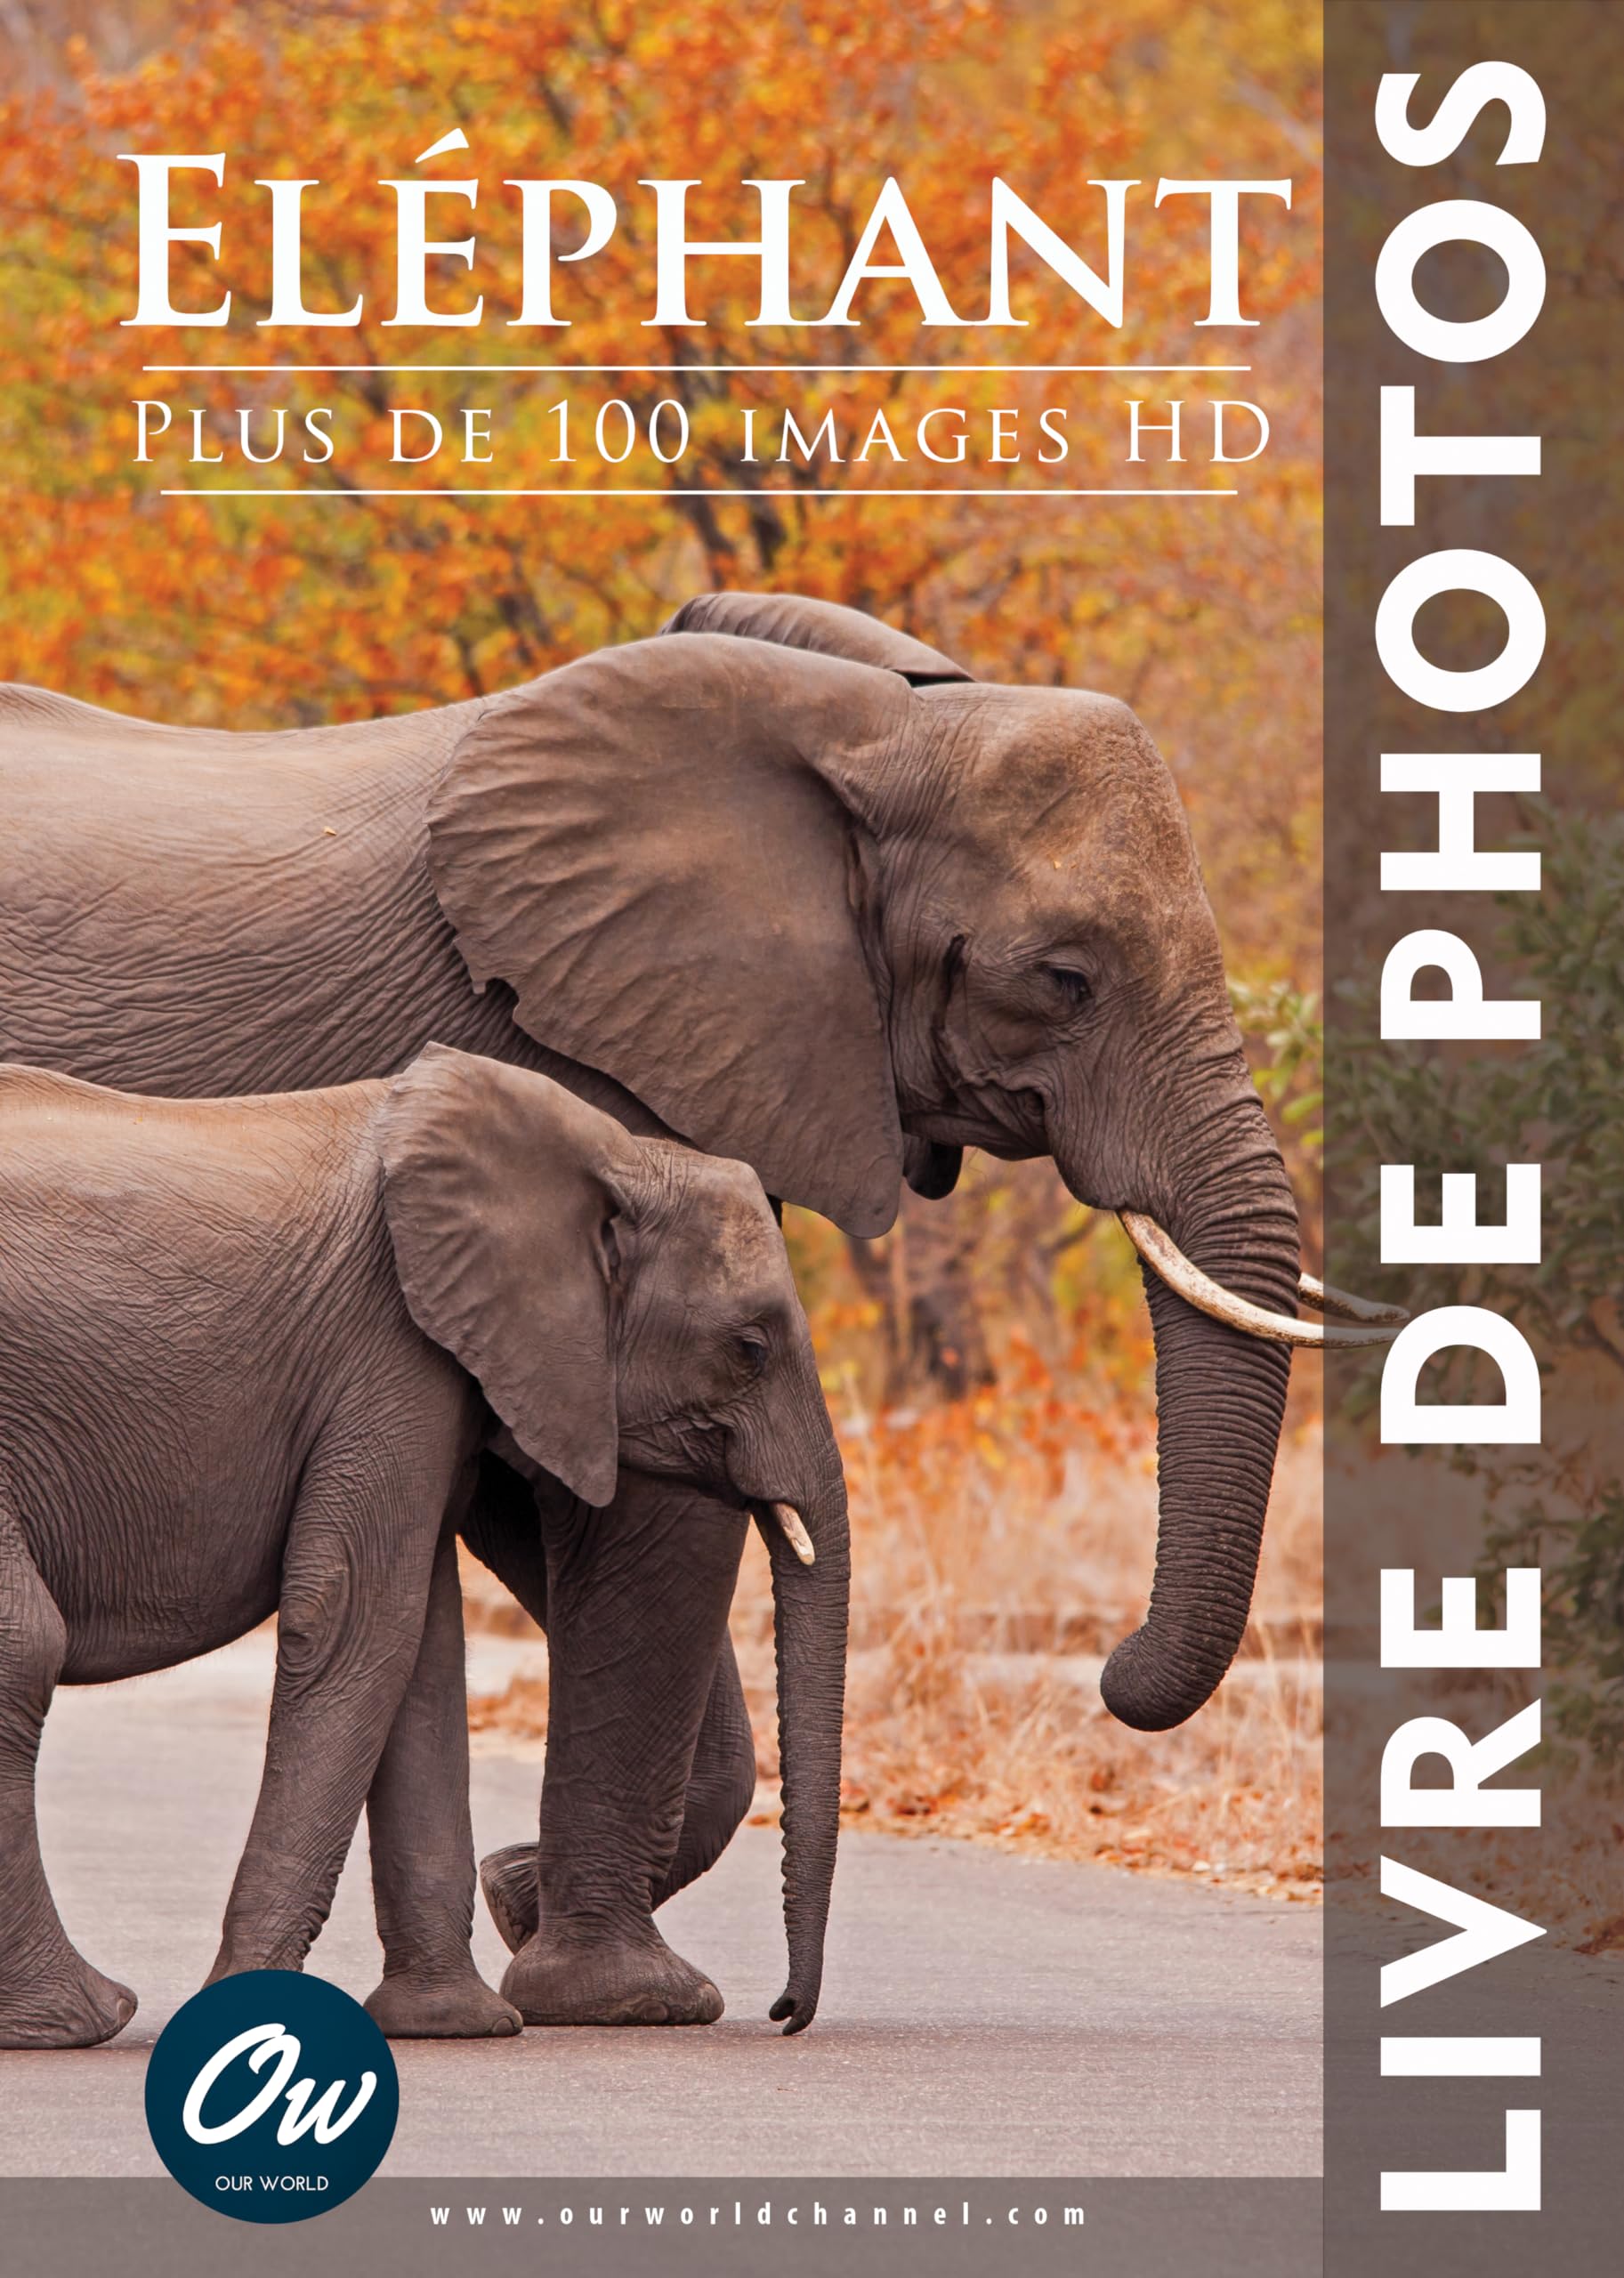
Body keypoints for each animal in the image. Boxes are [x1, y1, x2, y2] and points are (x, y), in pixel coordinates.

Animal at [0, 1046, 849, 2048]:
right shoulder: (390, 1352)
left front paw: (451, 2023)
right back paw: (77, 2018)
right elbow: (359, 1615)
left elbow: (423, 1650)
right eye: (749, 1347)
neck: (606, 1152)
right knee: (25, 1648)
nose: (783, 2012)